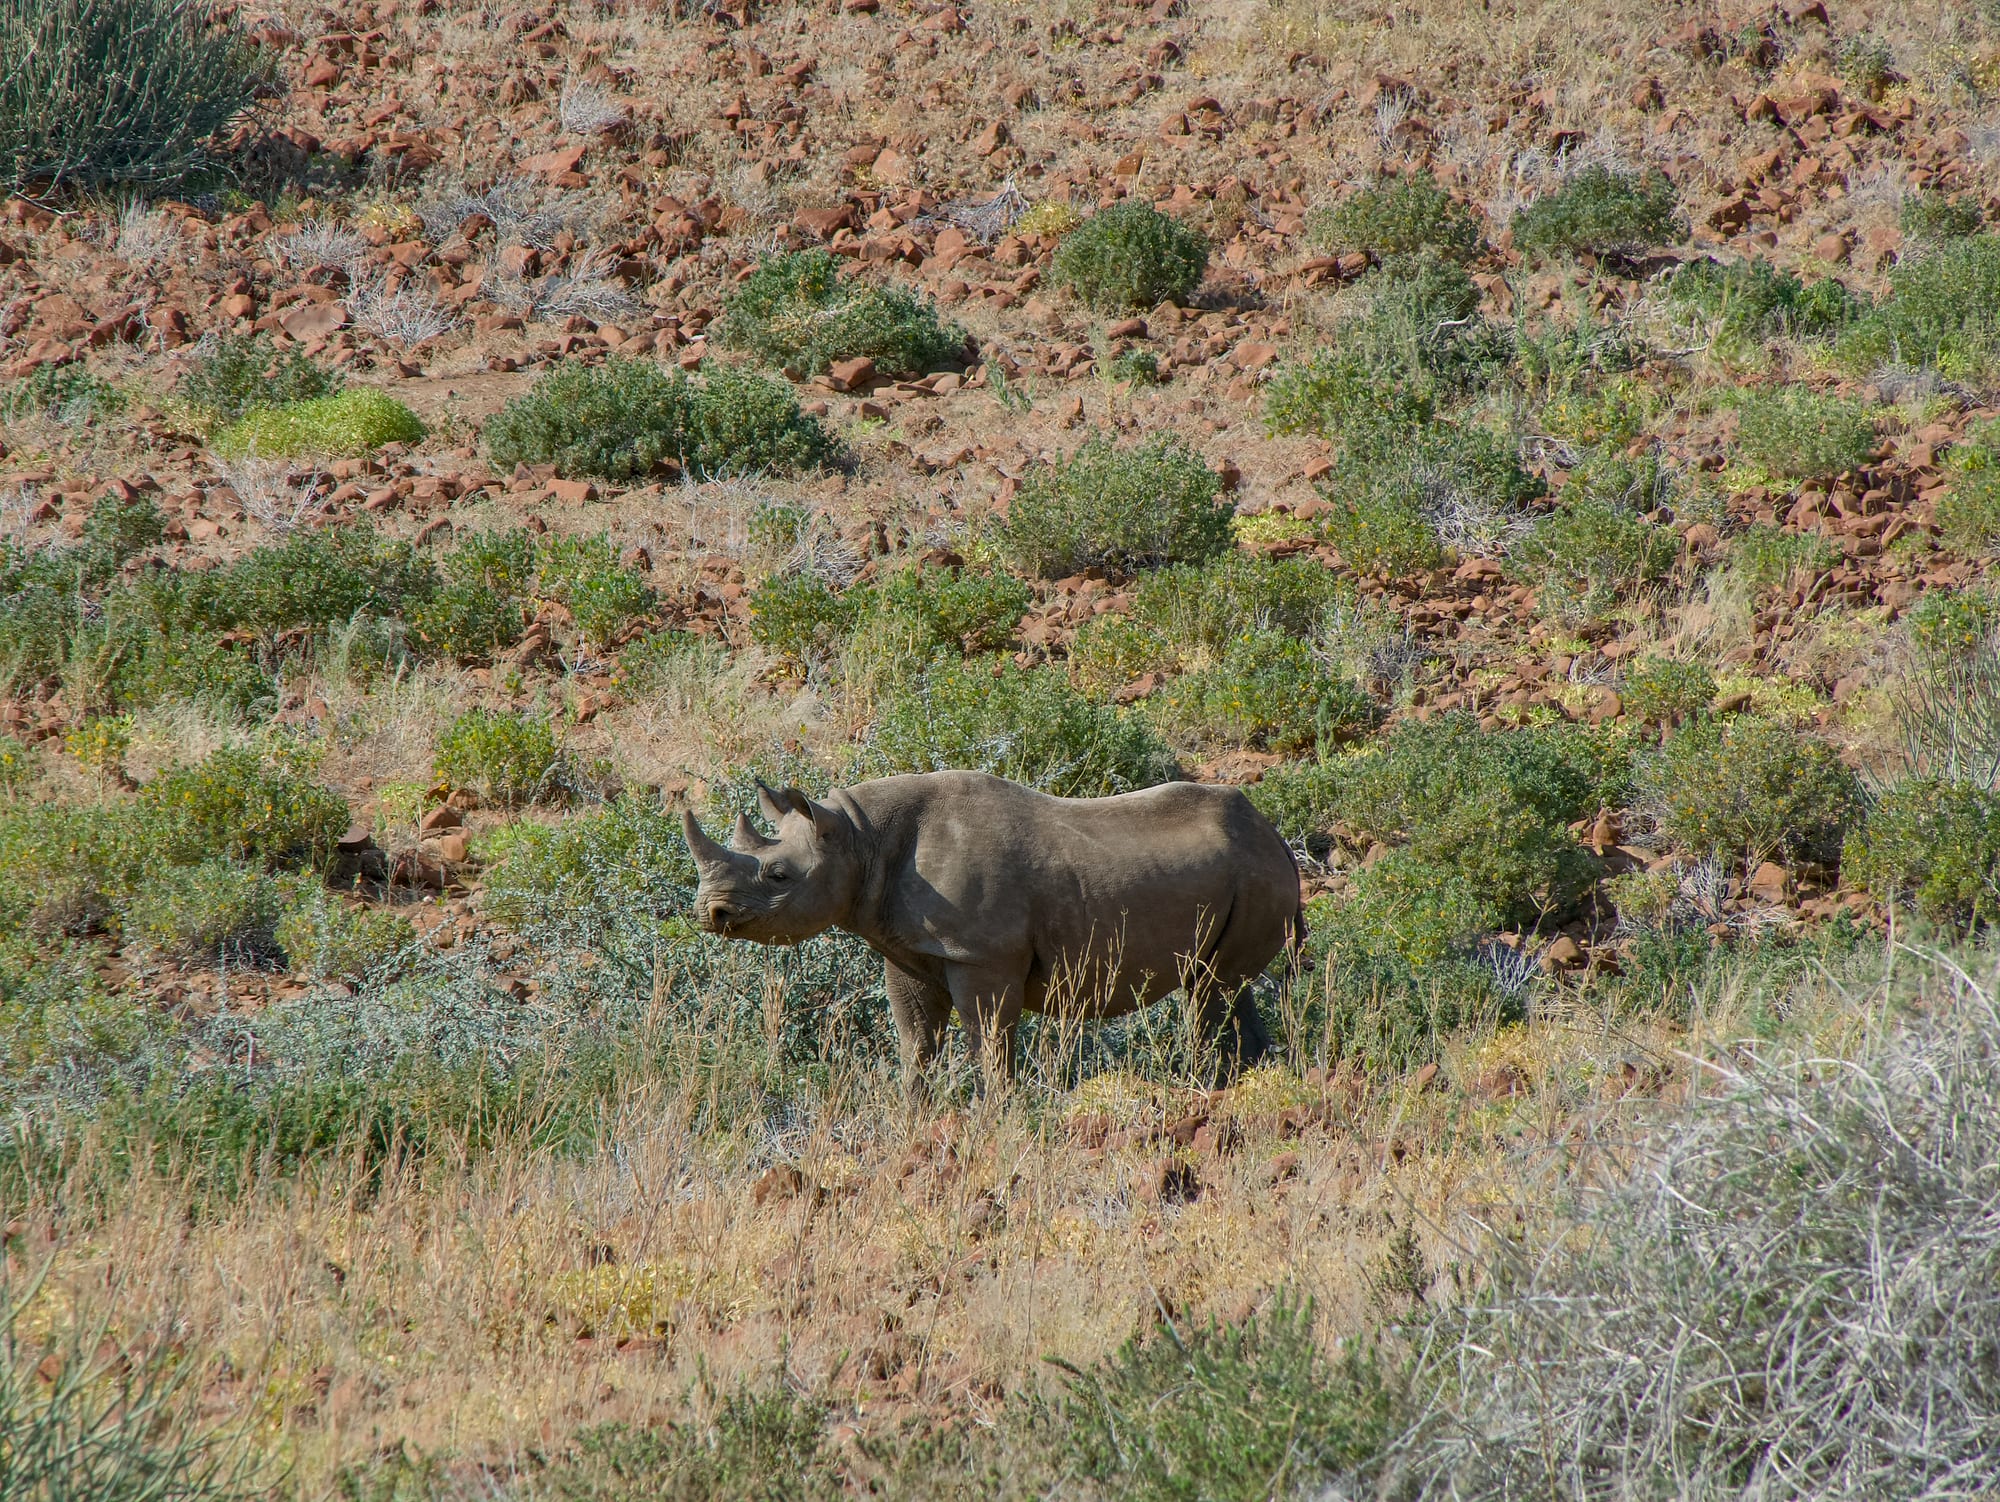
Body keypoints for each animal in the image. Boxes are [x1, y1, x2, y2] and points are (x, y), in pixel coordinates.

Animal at [681, 771, 1304, 1092]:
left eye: (778, 875)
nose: (710, 913)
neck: (858, 838)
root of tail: (1278, 837)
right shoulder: (905, 948)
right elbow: (916, 1040)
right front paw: (914, 1113)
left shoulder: (982, 954)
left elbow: (988, 1040)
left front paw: (995, 1114)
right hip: (1247, 872)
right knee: (1224, 985)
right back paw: (1255, 1081)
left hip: (1256, 872)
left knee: (1212, 992)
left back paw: (1210, 1088)